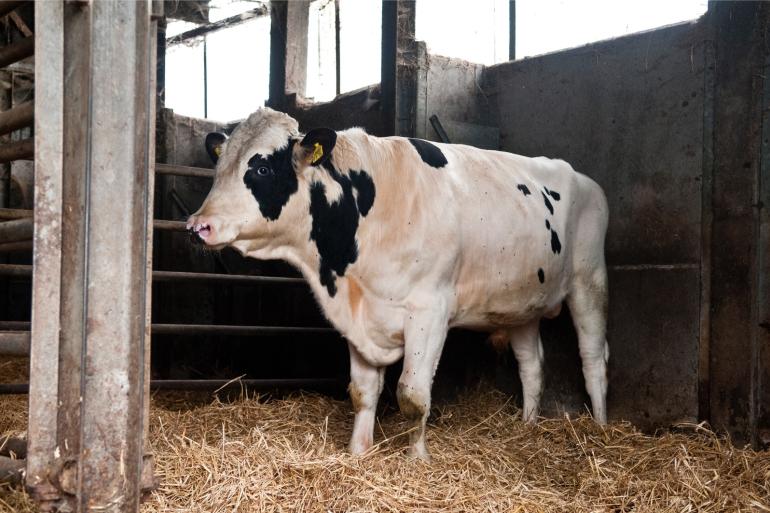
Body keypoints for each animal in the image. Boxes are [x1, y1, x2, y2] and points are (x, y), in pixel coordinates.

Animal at [186, 108, 608, 460]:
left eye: (261, 169)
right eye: (220, 165)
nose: (197, 226)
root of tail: (583, 178)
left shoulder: (429, 313)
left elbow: (413, 396)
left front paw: (416, 460)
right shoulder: (359, 316)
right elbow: (362, 392)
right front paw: (358, 452)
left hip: (589, 283)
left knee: (593, 361)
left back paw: (601, 427)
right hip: (521, 304)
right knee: (531, 366)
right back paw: (527, 426)